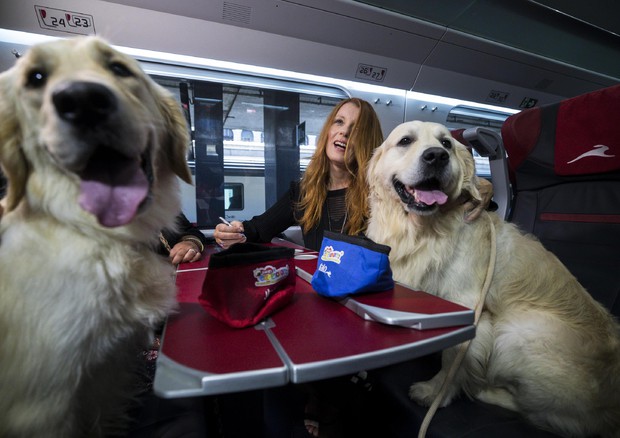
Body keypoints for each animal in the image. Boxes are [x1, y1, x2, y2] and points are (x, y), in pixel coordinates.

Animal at [366, 120, 616, 438]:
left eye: (446, 144)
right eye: (405, 141)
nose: (436, 156)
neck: (423, 229)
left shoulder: (469, 308)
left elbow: (452, 358)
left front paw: (435, 392)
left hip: (516, 331)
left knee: (553, 417)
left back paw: (485, 390)